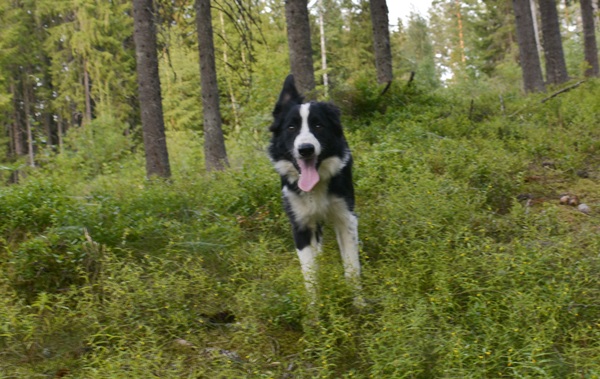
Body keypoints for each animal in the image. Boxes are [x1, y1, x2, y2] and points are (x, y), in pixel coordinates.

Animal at [270, 75, 364, 300]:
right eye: (291, 128)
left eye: (319, 126)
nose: (306, 149)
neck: (315, 186)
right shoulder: (300, 224)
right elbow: (310, 275)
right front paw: (315, 308)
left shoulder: (345, 217)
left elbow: (352, 268)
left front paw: (359, 304)